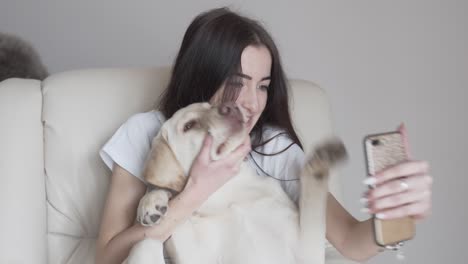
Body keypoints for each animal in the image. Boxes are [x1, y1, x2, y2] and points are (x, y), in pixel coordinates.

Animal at [124, 101, 348, 264]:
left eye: (209, 105)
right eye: (189, 126)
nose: (230, 105)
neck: (227, 189)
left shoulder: (307, 251)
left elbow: (313, 197)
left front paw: (320, 162)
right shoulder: (197, 254)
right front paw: (151, 201)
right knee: (145, 242)